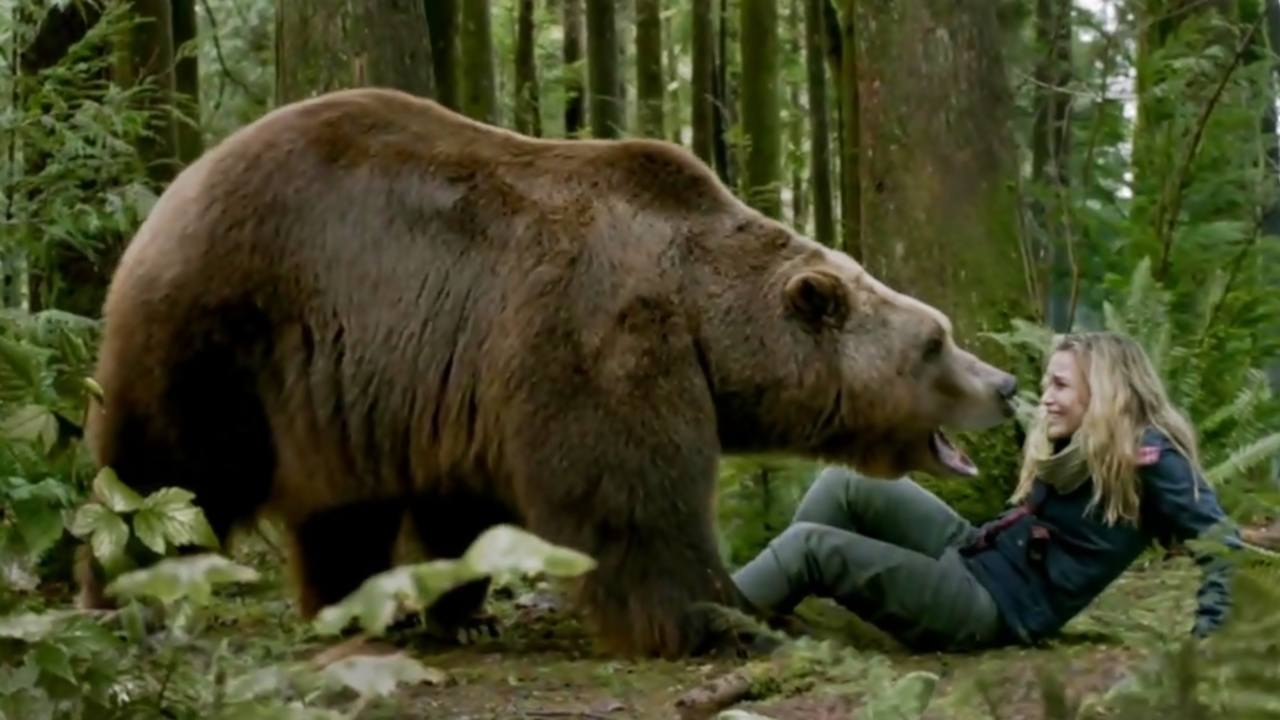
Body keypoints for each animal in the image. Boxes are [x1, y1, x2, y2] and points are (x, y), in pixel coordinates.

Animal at [78, 87, 1018, 659]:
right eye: (935, 342)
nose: (1004, 385)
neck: (703, 315)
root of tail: (179, 181)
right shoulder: (599, 333)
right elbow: (632, 497)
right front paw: (723, 618)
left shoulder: (466, 381)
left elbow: (463, 509)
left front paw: (464, 613)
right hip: (225, 325)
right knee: (164, 472)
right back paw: (126, 598)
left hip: (337, 380)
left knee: (344, 509)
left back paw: (365, 608)